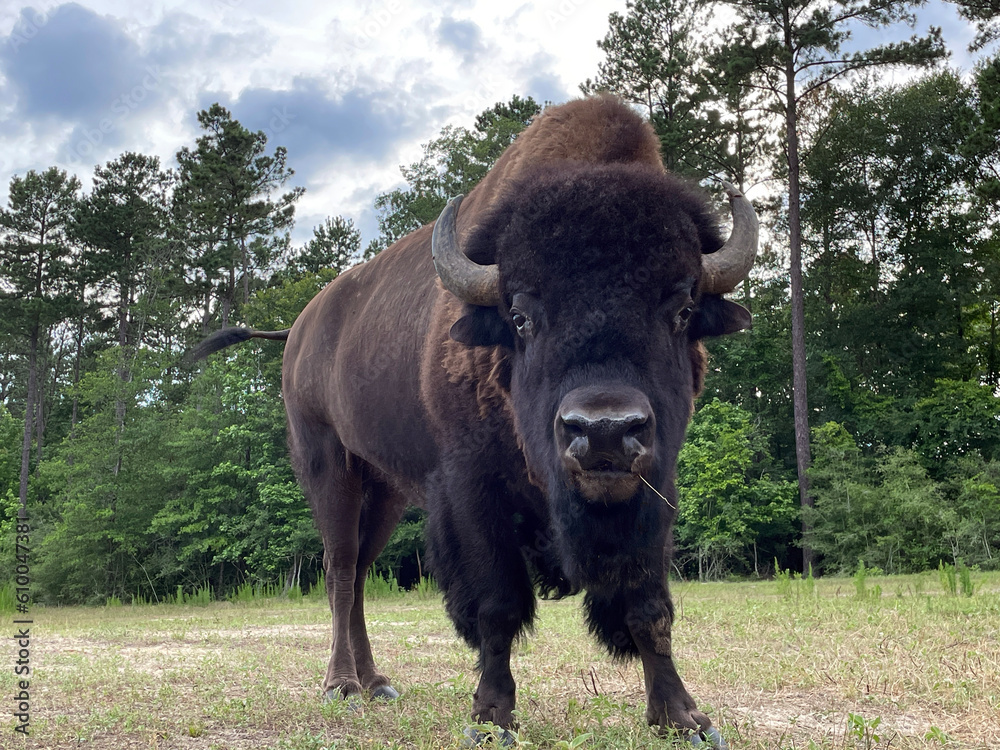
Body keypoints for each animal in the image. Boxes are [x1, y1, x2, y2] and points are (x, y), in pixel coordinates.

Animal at [191, 97, 756, 748]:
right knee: (339, 570)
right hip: (328, 464)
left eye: (683, 309)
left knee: (359, 572)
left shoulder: (653, 490)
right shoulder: (470, 491)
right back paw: (343, 686)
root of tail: (300, 328)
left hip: (386, 491)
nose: (604, 431)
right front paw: (491, 719)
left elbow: (649, 605)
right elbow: (496, 606)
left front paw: (684, 719)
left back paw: (378, 681)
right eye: (521, 315)